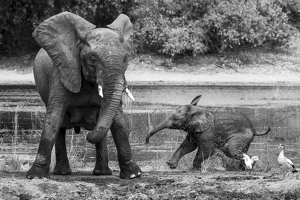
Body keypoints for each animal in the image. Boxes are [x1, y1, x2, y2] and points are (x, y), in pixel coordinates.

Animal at [26, 11, 141, 179]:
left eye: (126, 59)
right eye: (93, 59)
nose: (88, 135)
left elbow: (118, 121)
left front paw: (133, 175)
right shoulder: (62, 72)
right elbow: (53, 119)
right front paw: (35, 177)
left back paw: (101, 173)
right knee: (59, 128)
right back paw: (62, 173)